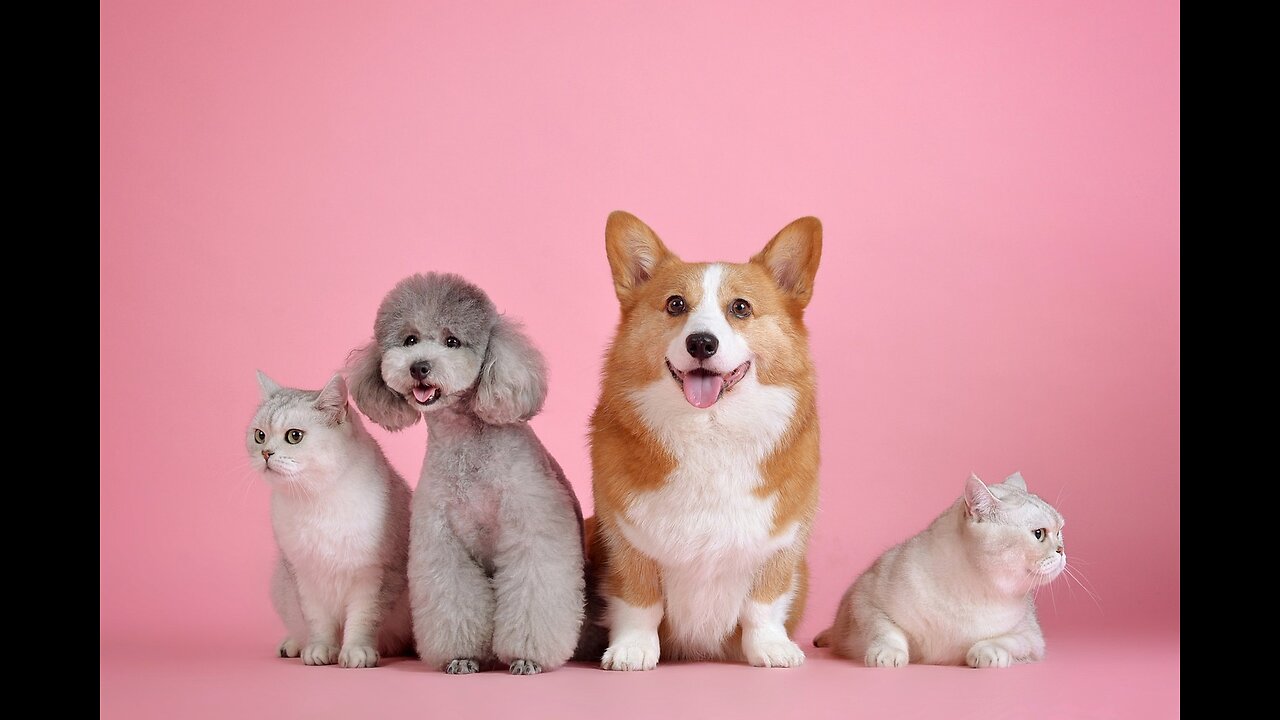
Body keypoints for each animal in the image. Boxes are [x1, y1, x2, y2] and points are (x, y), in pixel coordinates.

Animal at [247, 371, 412, 666]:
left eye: (294, 436)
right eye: (259, 435)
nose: (266, 453)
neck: (315, 500)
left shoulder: (374, 576)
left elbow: (363, 619)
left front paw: (356, 652)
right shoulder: (303, 575)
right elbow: (317, 621)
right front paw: (320, 649)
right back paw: (292, 645)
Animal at [353, 270, 586, 671]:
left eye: (453, 341)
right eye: (410, 340)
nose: (419, 367)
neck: (466, 446)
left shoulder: (534, 530)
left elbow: (534, 593)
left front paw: (527, 658)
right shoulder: (441, 541)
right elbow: (454, 598)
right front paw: (461, 658)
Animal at [586, 208, 819, 666]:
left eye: (741, 308)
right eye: (675, 304)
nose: (701, 343)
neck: (710, 431)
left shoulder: (782, 542)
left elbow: (763, 604)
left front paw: (771, 648)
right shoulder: (624, 540)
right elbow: (639, 601)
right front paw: (632, 650)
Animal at [814, 471, 1064, 666]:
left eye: (1060, 531)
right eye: (1039, 534)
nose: (1062, 550)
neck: (973, 590)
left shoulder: (1032, 637)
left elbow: (1007, 640)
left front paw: (987, 652)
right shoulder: (865, 599)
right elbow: (886, 630)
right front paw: (888, 654)